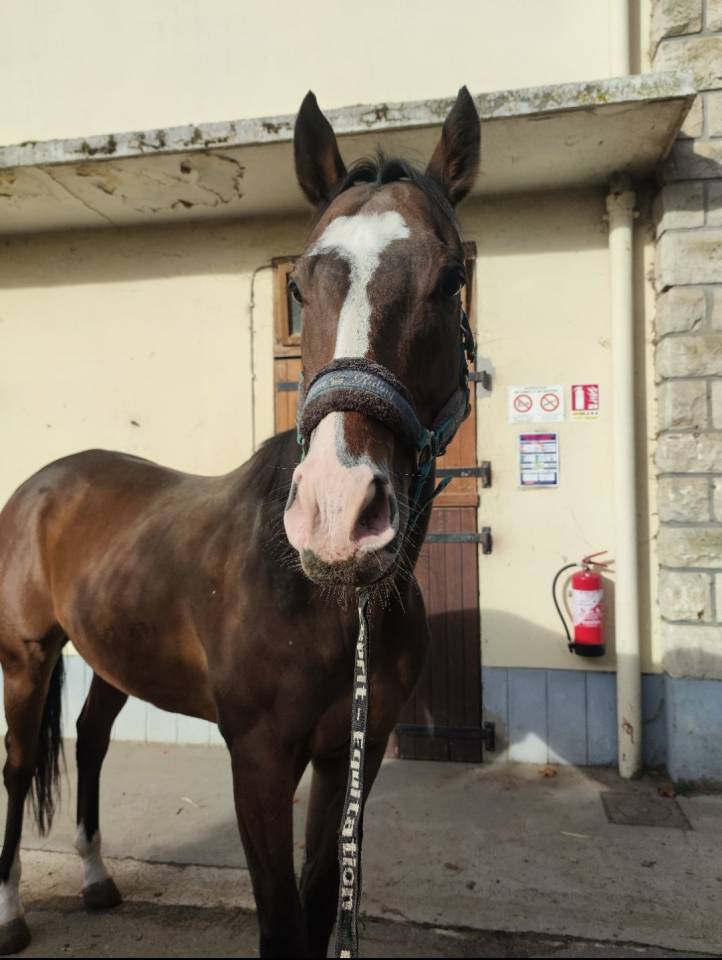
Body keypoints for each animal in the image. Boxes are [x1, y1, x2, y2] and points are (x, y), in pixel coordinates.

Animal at [0, 86, 480, 958]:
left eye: (452, 277)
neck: (330, 602)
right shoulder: (257, 761)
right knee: (19, 766)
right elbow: (282, 922)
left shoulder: (348, 756)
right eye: (301, 286)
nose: (338, 514)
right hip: (26, 656)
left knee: (90, 738)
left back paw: (95, 878)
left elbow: (322, 903)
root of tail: (40, 487)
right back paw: (12, 910)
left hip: (112, 659)